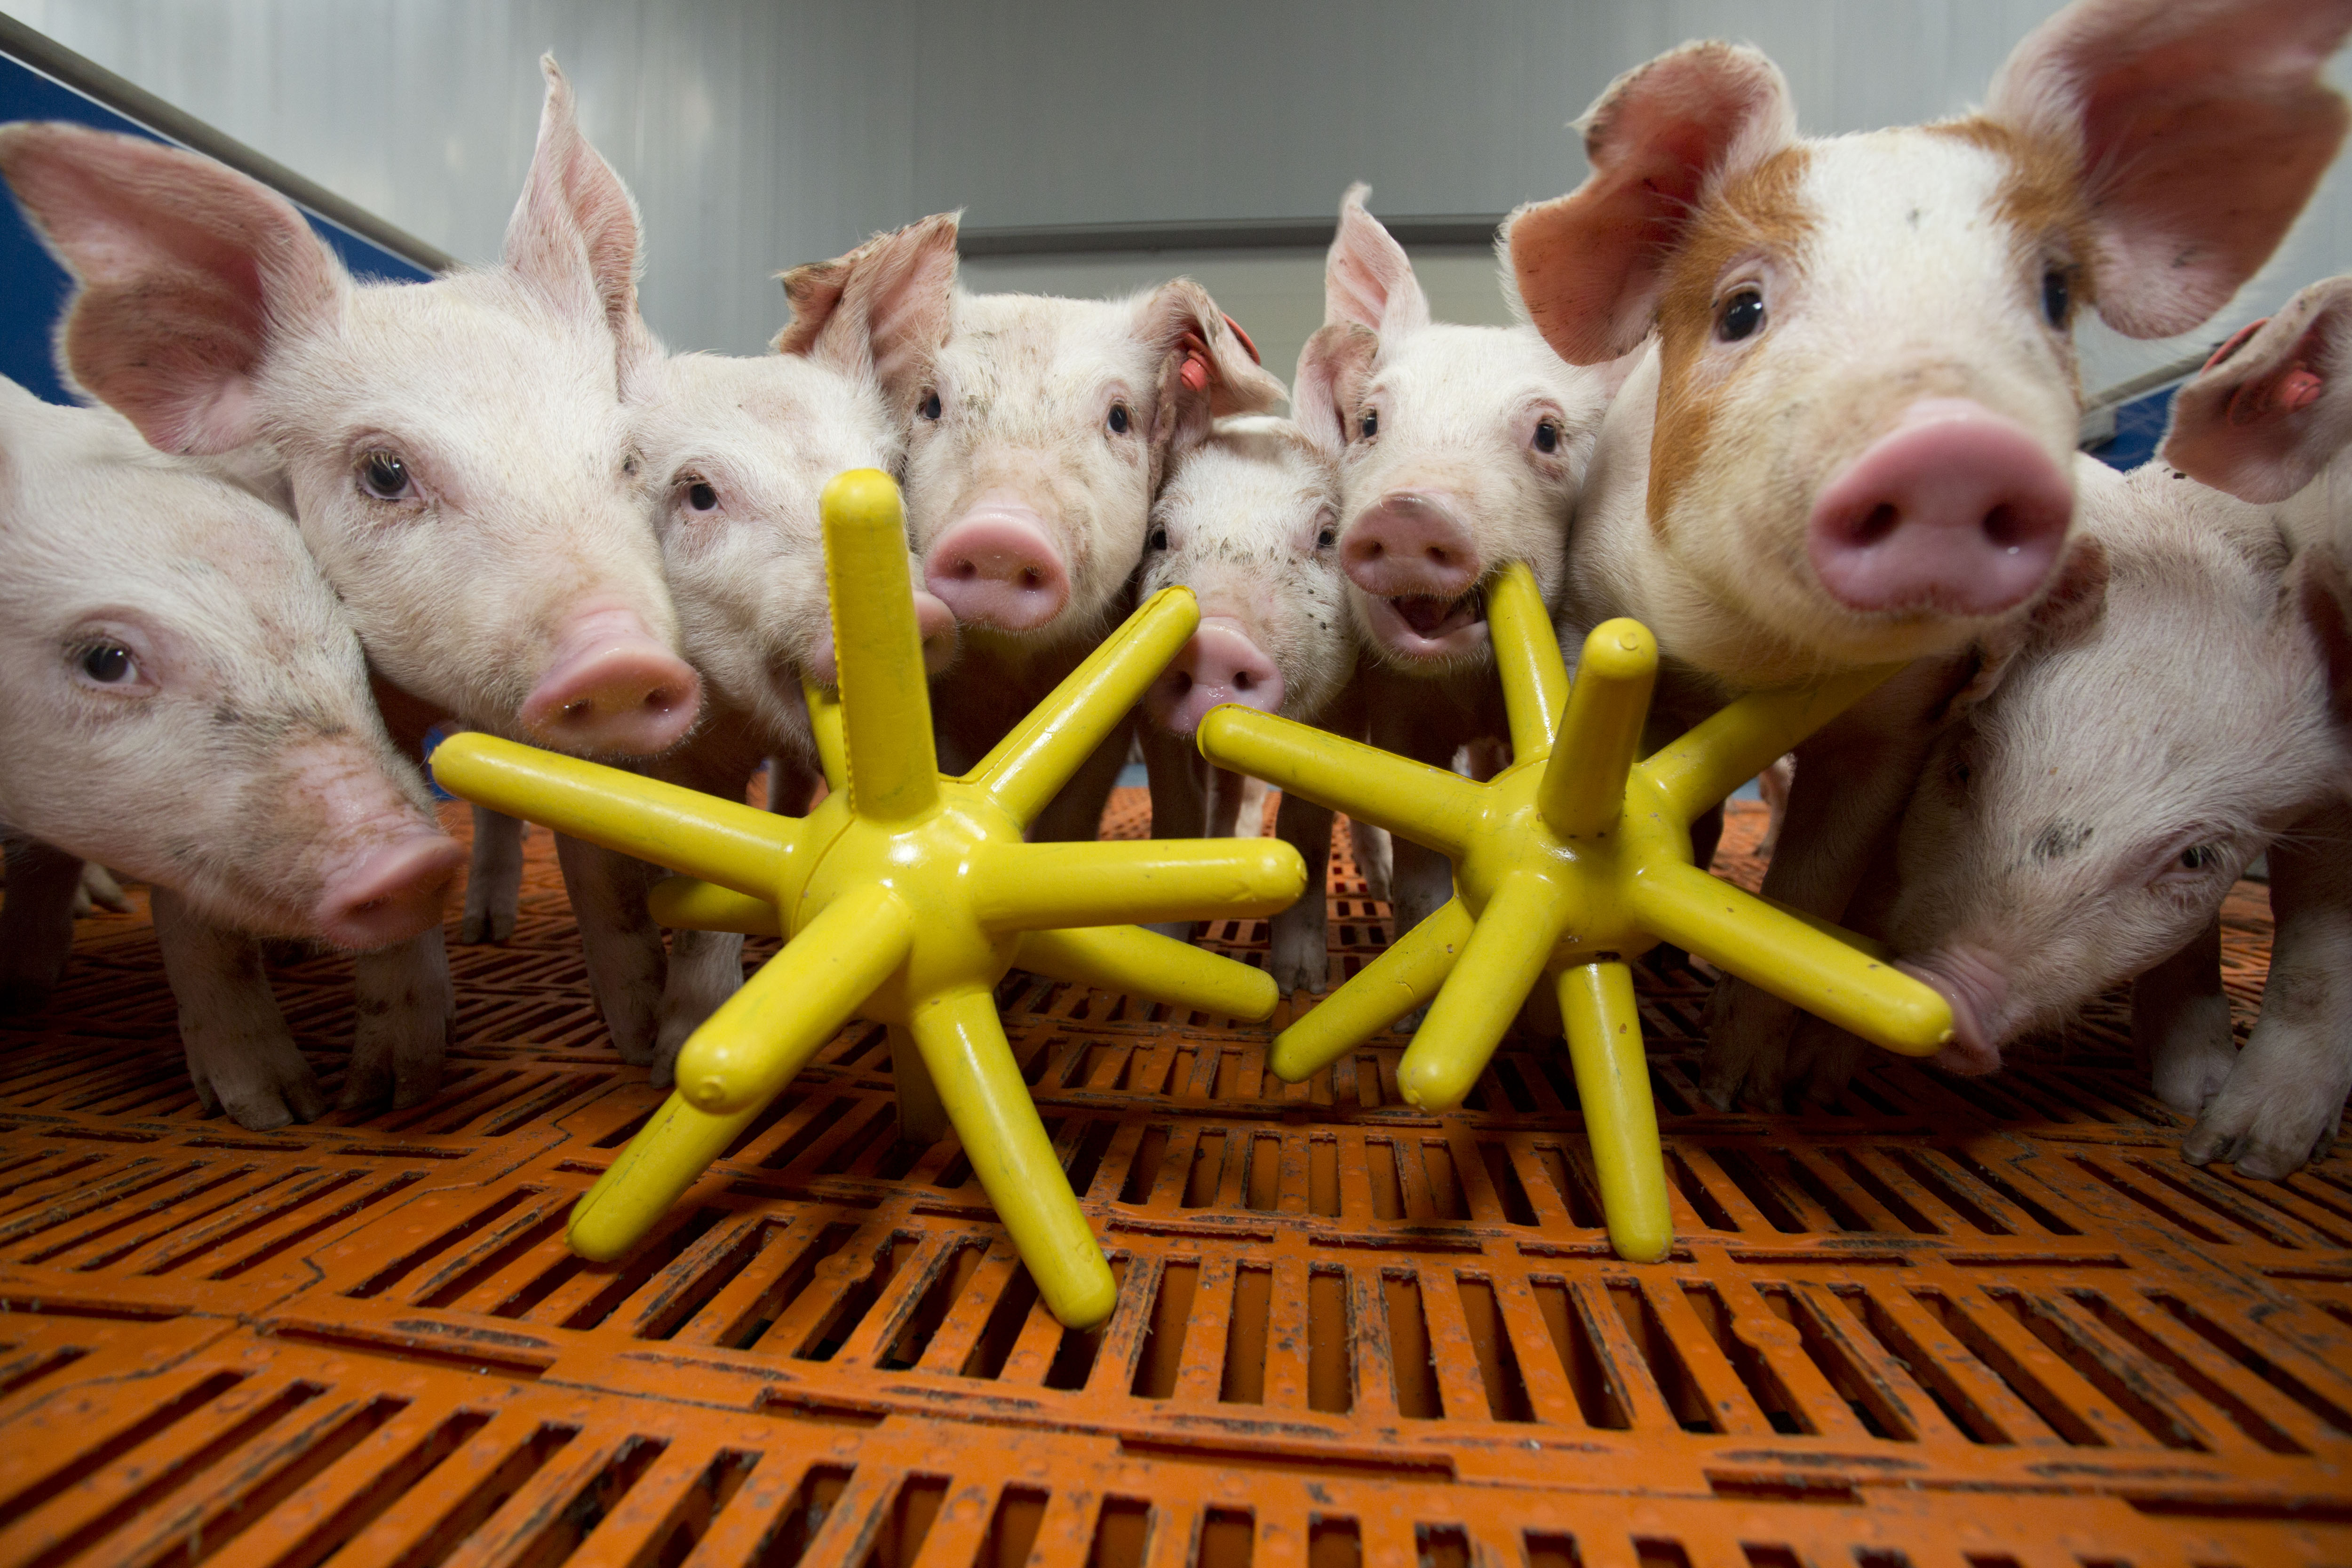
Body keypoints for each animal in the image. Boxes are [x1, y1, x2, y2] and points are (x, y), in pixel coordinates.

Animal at [778, 222, 1287, 840]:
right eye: (930, 404)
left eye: (1119, 417)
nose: (1000, 533)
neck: (1012, 673)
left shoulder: (1104, 723)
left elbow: (1073, 812)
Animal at [1134, 413, 1357, 991]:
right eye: (1159, 536)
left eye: (1327, 536)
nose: (1215, 639)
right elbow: (1178, 811)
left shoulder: (1342, 706)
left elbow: (1306, 828)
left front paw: (1300, 983)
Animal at [1290, 187, 1614, 940]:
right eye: (1371, 422)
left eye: (1548, 432)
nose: (1408, 512)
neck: (1469, 690)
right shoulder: (1401, 710)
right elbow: (1419, 863)